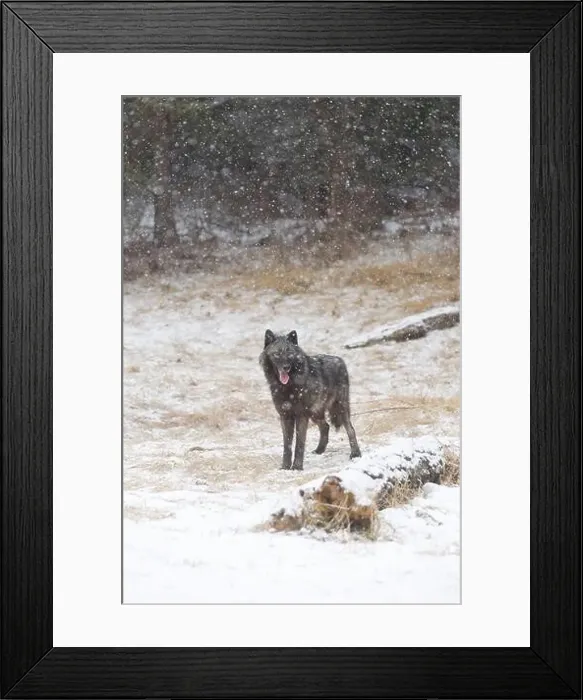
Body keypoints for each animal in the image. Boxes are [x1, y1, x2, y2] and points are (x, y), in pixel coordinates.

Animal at [260, 329, 361, 470]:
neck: (288, 386)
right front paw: (285, 467)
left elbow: (299, 443)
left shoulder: (301, 415)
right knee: (325, 426)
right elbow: (287, 445)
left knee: (351, 429)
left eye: (289, 354)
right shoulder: (285, 416)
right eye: (277, 354)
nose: (286, 367)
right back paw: (319, 451)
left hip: (339, 409)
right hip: (315, 413)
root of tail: (340, 360)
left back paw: (355, 454)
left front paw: (297, 467)